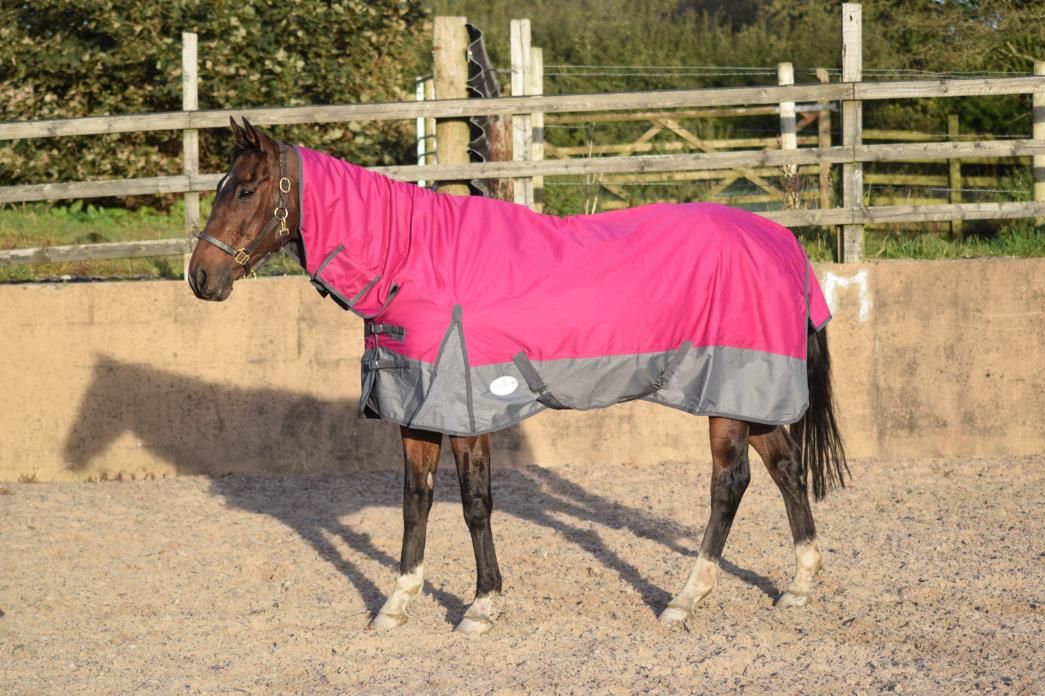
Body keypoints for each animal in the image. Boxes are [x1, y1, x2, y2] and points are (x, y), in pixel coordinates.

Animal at [188, 118, 847, 634]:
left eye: (244, 189)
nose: (200, 277)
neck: (413, 261)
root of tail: (782, 241)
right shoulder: (416, 410)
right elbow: (415, 503)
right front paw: (397, 603)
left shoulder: (467, 410)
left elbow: (475, 504)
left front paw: (482, 605)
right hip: (749, 396)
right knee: (786, 469)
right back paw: (798, 585)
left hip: (726, 398)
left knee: (729, 486)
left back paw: (685, 599)